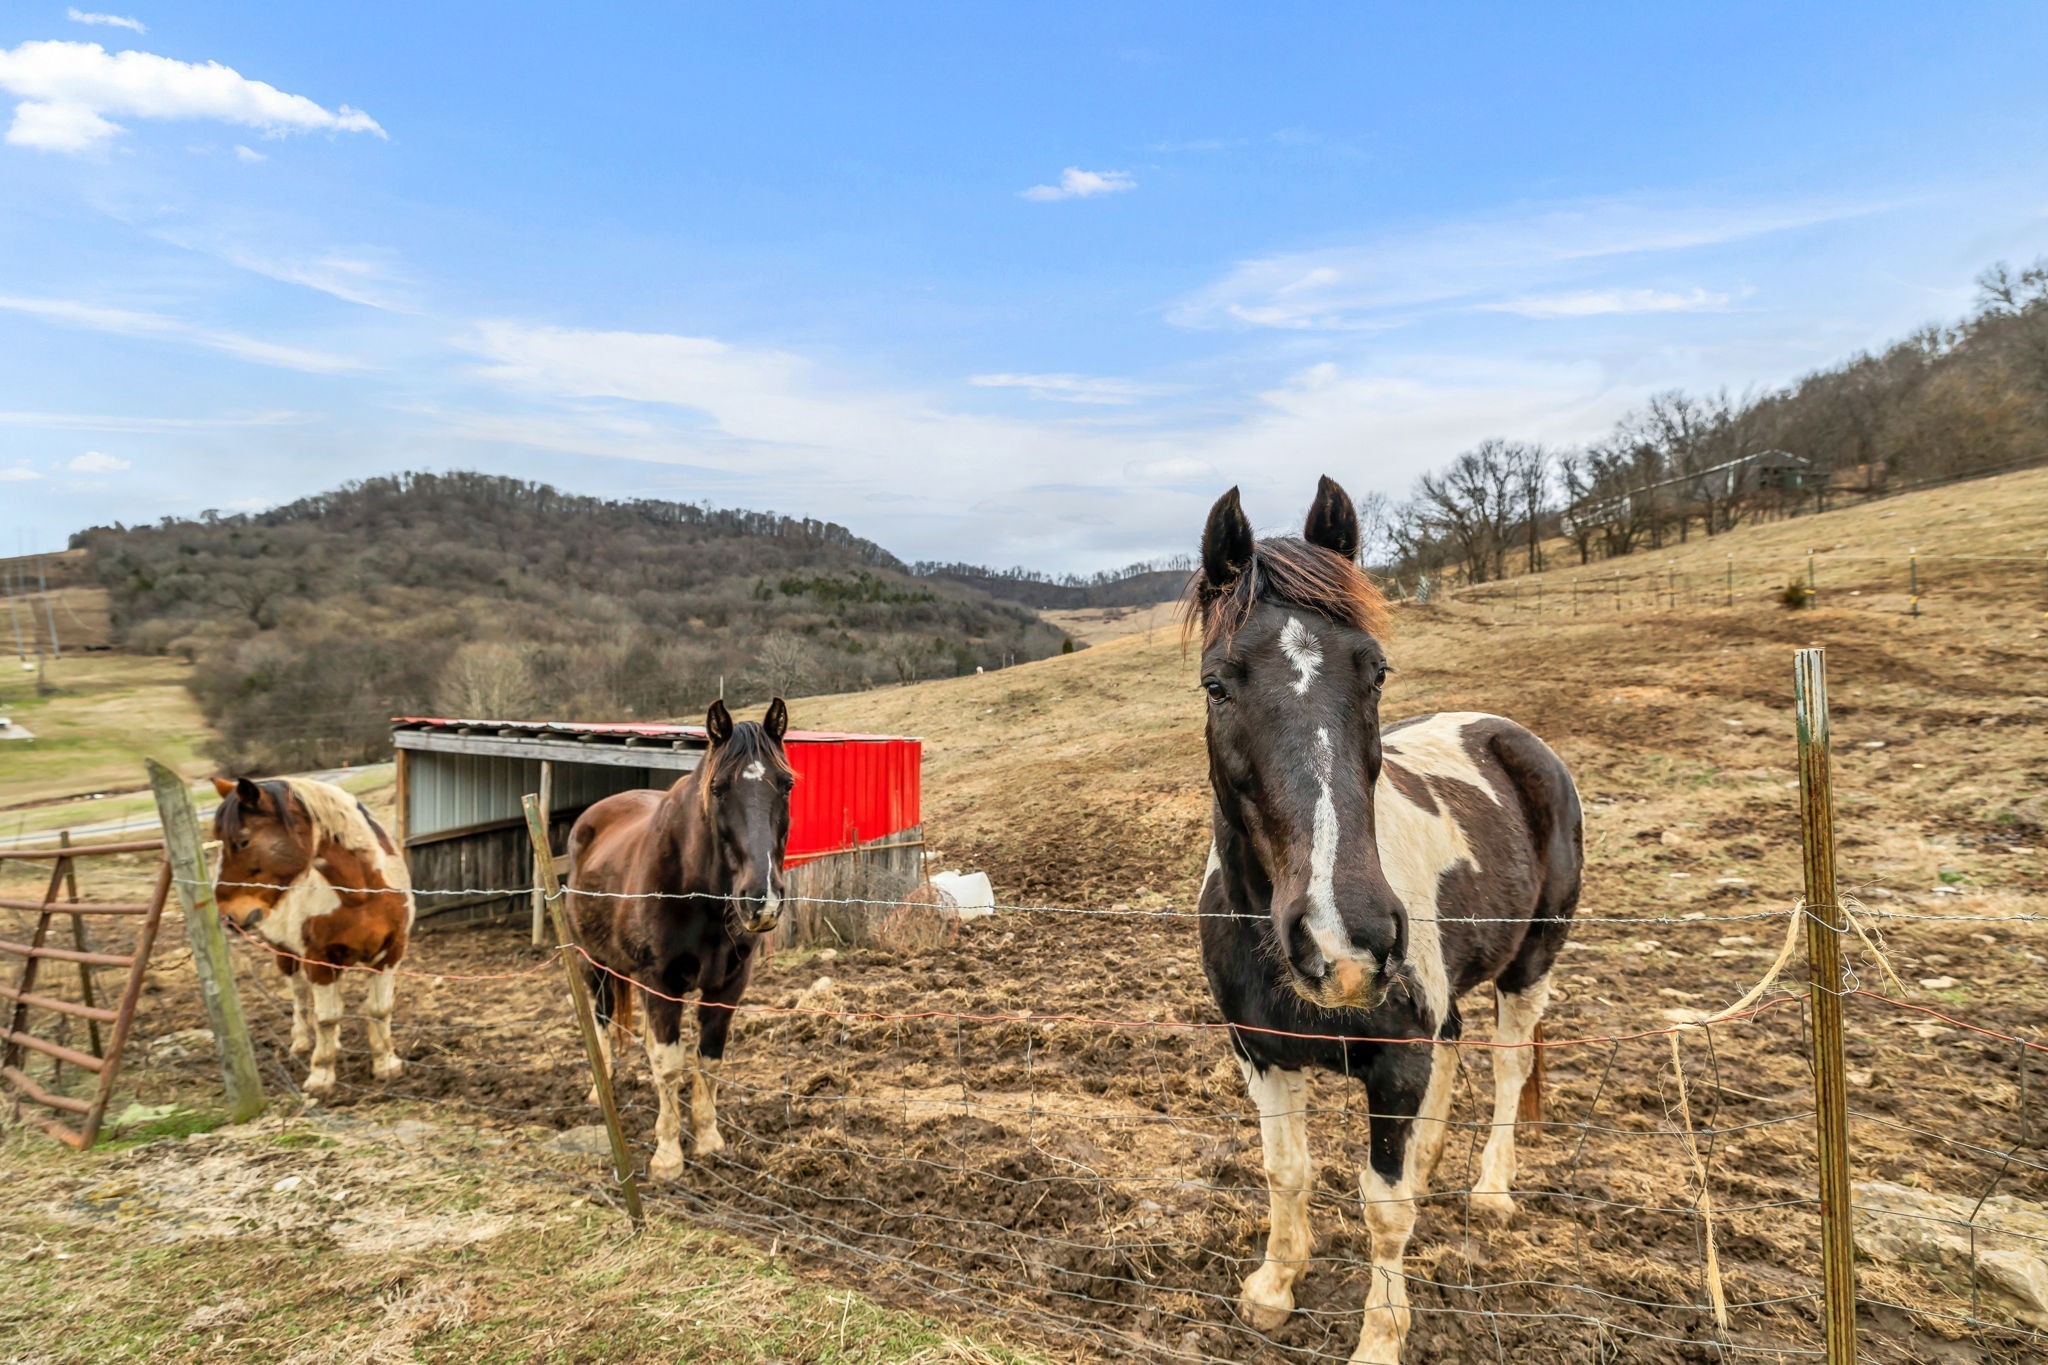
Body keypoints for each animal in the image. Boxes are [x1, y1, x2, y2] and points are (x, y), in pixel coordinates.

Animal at [211, 773, 415, 1096]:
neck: (361, 895)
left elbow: (379, 1009)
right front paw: (321, 1074)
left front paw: (386, 1063)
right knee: (300, 996)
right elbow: (326, 1017)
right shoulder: (319, 960)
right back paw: (302, 1041)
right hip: (287, 954)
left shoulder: (390, 953)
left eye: (242, 841)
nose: (228, 916)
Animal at [569, 699, 790, 1178]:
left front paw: (708, 1139)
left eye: (786, 785)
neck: (698, 891)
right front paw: (668, 1155)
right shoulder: (661, 983)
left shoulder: (728, 985)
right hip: (593, 962)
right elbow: (669, 1064)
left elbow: (707, 1059)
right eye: (719, 788)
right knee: (602, 1019)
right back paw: (600, 1091)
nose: (761, 898)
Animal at [1187, 480, 1581, 1365]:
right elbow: (1286, 1170)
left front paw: (1379, 1336)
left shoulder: (1394, 1065)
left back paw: (1491, 1187)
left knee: (1508, 1064)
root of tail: (1509, 731)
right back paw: (1433, 1167)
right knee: (1455, 1046)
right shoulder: (1261, 1053)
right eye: (1217, 684)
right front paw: (1273, 1287)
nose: (1344, 941)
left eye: (1375, 671)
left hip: (1532, 962)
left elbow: (1383, 1207)